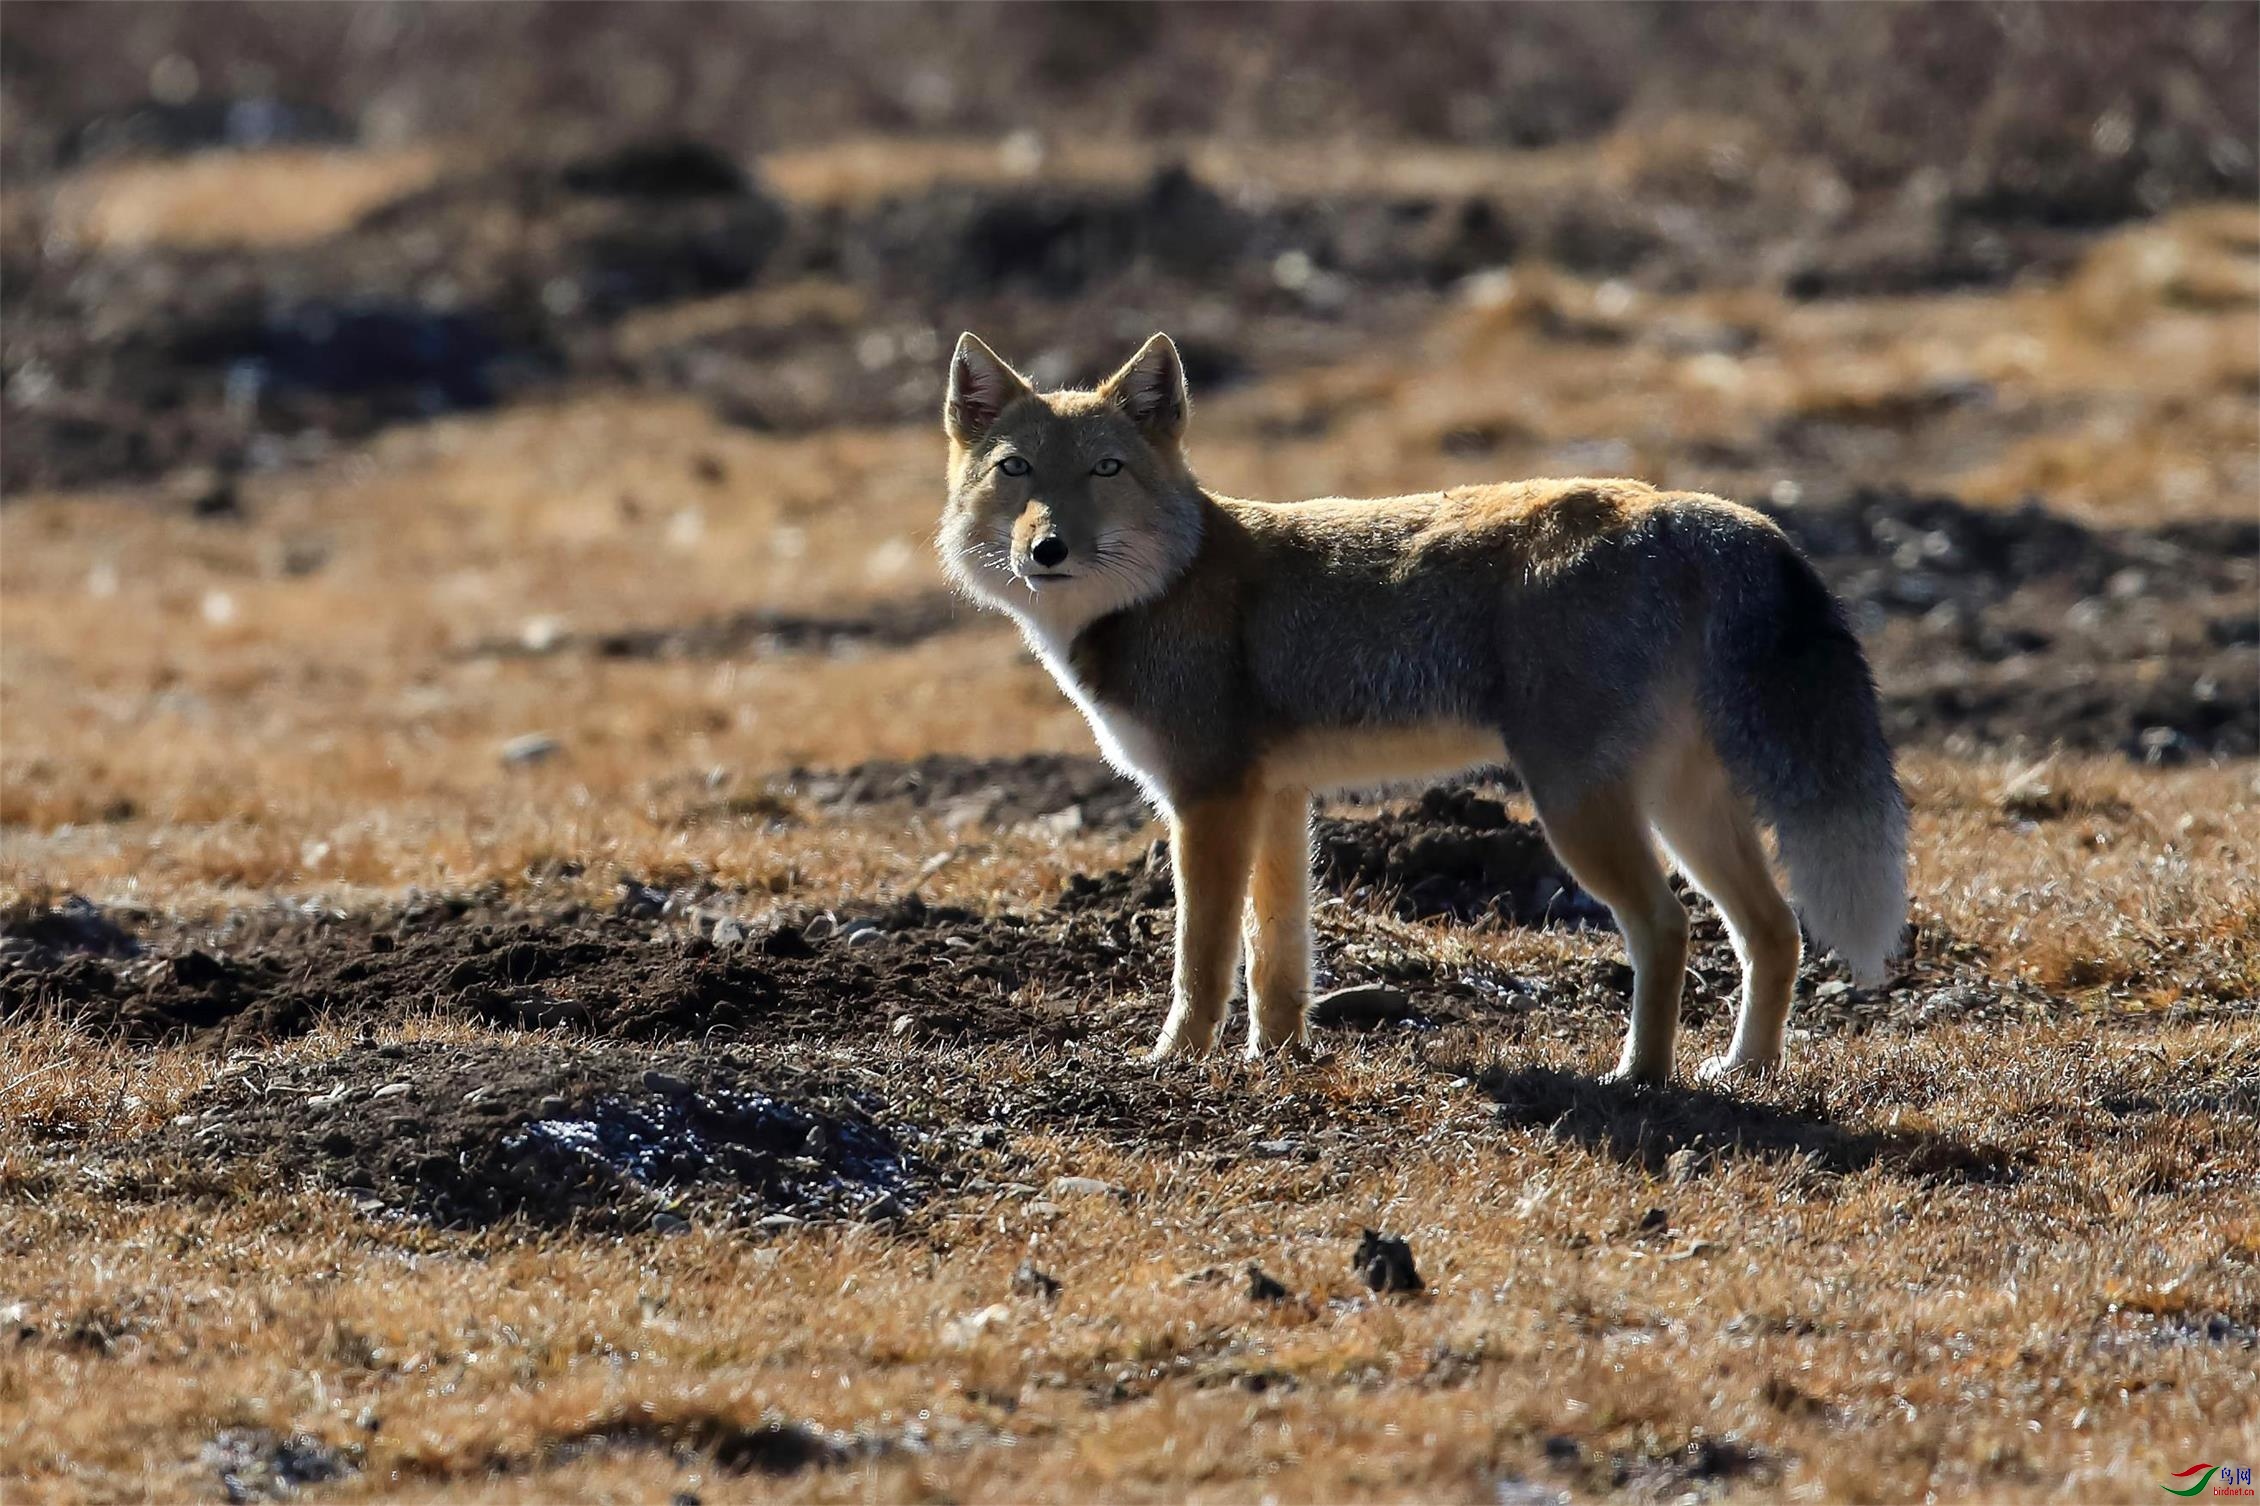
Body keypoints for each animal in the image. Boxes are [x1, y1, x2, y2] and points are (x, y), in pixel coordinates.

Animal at [935, 332, 1907, 1080]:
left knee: (1666, 930)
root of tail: (1675, 504)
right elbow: (1278, 957)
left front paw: (1177, 1061)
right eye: (1017, 470)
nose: (1048, 549)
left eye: (1106, 468)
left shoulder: (1208, 801)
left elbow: (1203, 958)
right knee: (1774, 931)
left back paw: (1642, 1075)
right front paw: (1276, 1061)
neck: (1165, 587)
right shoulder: (1276, 799)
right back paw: (1746, 1068)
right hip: (1680, 808)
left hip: (1580, 809)